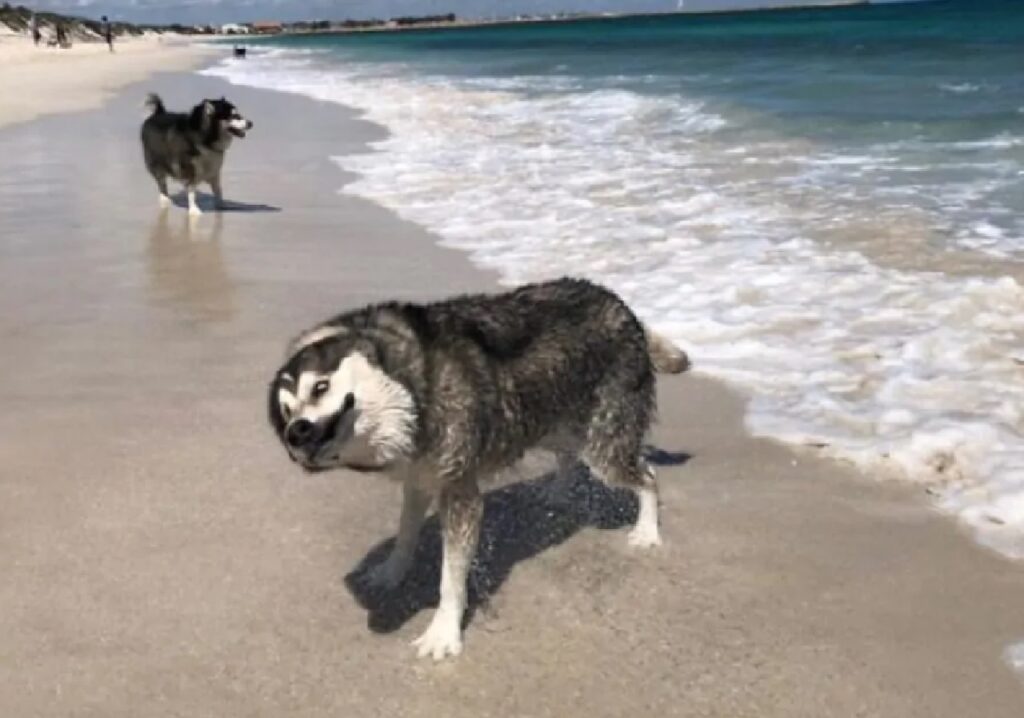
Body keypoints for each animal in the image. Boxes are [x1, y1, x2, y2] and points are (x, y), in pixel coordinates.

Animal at [268, 276, 692, 659]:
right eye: (285, 412)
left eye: (320, 387)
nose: (296, 433)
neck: (415, 382)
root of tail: (623, 307)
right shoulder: (419, 477)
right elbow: (406, 532)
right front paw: (391, 572)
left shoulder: (459, 490)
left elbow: (451, 577)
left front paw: (443, 632)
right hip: (546, 421)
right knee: (568, 454)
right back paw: (557, 492)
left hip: (603, 442)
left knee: (646, 475)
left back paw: (647, 530)